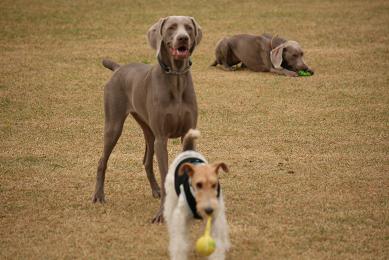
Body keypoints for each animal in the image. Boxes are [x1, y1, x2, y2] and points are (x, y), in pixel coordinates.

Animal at [93, 16, 203, 223]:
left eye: (189, 28)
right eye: (171, 27)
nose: (183, 38)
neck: (176, 78)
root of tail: (118, 68)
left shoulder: (188, 135)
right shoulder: (162, 138)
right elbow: (165, 173)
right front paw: (161, 214)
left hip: (148, 130)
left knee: (146, 160)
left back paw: (155, 190)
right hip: (114, 125)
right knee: (103, 160)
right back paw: (98, 196)